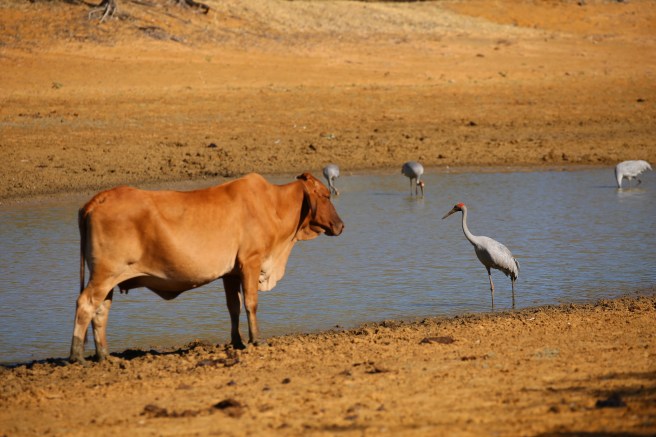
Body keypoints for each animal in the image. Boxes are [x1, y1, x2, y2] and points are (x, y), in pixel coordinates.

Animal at [69, 172, 344, 363]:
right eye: (326, 195)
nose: (341, 225)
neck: (273, 206)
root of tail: (100, 198)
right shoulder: (250, 262)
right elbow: (250, 303)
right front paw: (256, 340)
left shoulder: (231, 272)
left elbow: (233, 306)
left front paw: (237, 341)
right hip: (104, 273)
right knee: (86, 303)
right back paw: (77, 355)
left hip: (109, 278)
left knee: (101, 311)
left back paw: (104, 355)